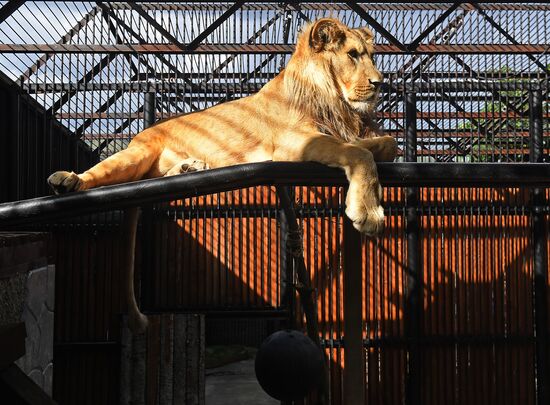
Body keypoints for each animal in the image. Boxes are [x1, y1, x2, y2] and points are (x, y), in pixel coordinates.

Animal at [47, 18, 398, 332]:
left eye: (372, 55)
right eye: (352, 54)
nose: (380, 83)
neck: (333, 101)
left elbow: (387, 144)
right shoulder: (292, 142)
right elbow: (359, 154)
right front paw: (368, 212)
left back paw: (188, 167)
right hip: (134, 154)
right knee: (103, 174)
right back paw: (68, 180)